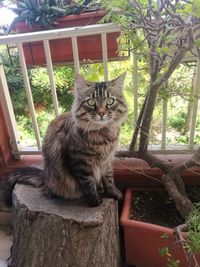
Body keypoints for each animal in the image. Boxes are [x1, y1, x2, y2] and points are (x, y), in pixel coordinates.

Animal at [3, 73, 127, 207]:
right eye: (91, 102)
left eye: (110, 101)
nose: (102, 113)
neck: (103, 134)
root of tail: (45, 177)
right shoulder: (80, 162)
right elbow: (88, 183)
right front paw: (94, 201)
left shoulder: (107, 160)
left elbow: (109, 180)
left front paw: (113, 193)